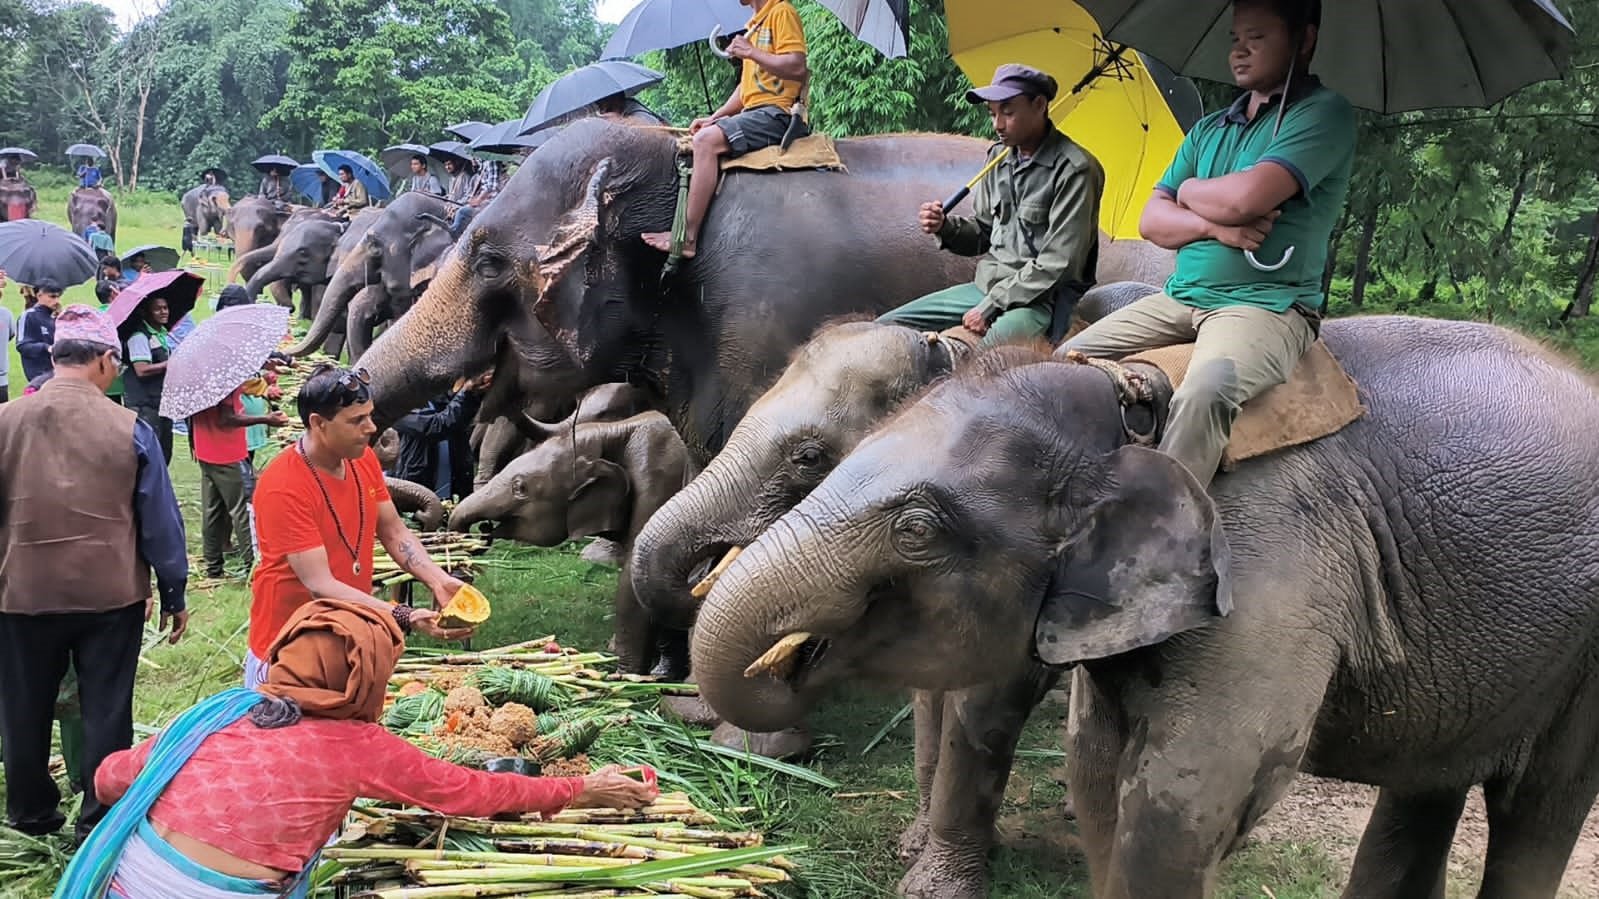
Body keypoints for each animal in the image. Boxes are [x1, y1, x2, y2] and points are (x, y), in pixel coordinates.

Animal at [447, 407, 690, 671]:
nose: (483, 528)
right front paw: (661, 672)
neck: (610, 429)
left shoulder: (659, 481)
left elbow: (636, 578)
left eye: (520, 487)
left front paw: (627, 675)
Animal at [690, 311, 1599, 889]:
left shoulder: (1275, 563)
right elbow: (1097, 768)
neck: (1130, 401)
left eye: (916, 527)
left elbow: (1183, 798)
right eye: (829, 462)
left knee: (1537, 809)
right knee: (1430, 781)